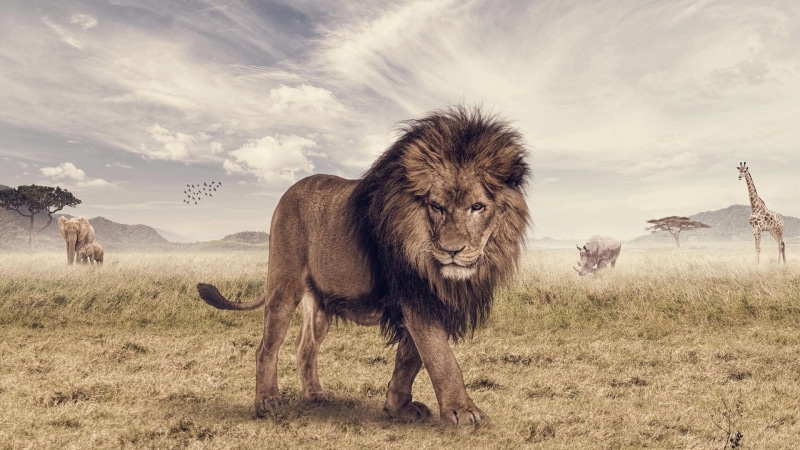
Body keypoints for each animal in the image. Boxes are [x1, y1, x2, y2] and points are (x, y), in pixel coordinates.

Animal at [197, 105, 530, 426]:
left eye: (477, 207)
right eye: (436, 206)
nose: (452, 251)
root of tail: (289, 192)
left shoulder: (426, 299)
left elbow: (409, 358)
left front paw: (398, 407)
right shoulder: (415, 295)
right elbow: (440, 358)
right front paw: (462, 411)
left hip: (321, 303)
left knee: (305, 346)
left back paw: (315, 394)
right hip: (284, 283)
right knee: (266, 347)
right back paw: (267, 401)